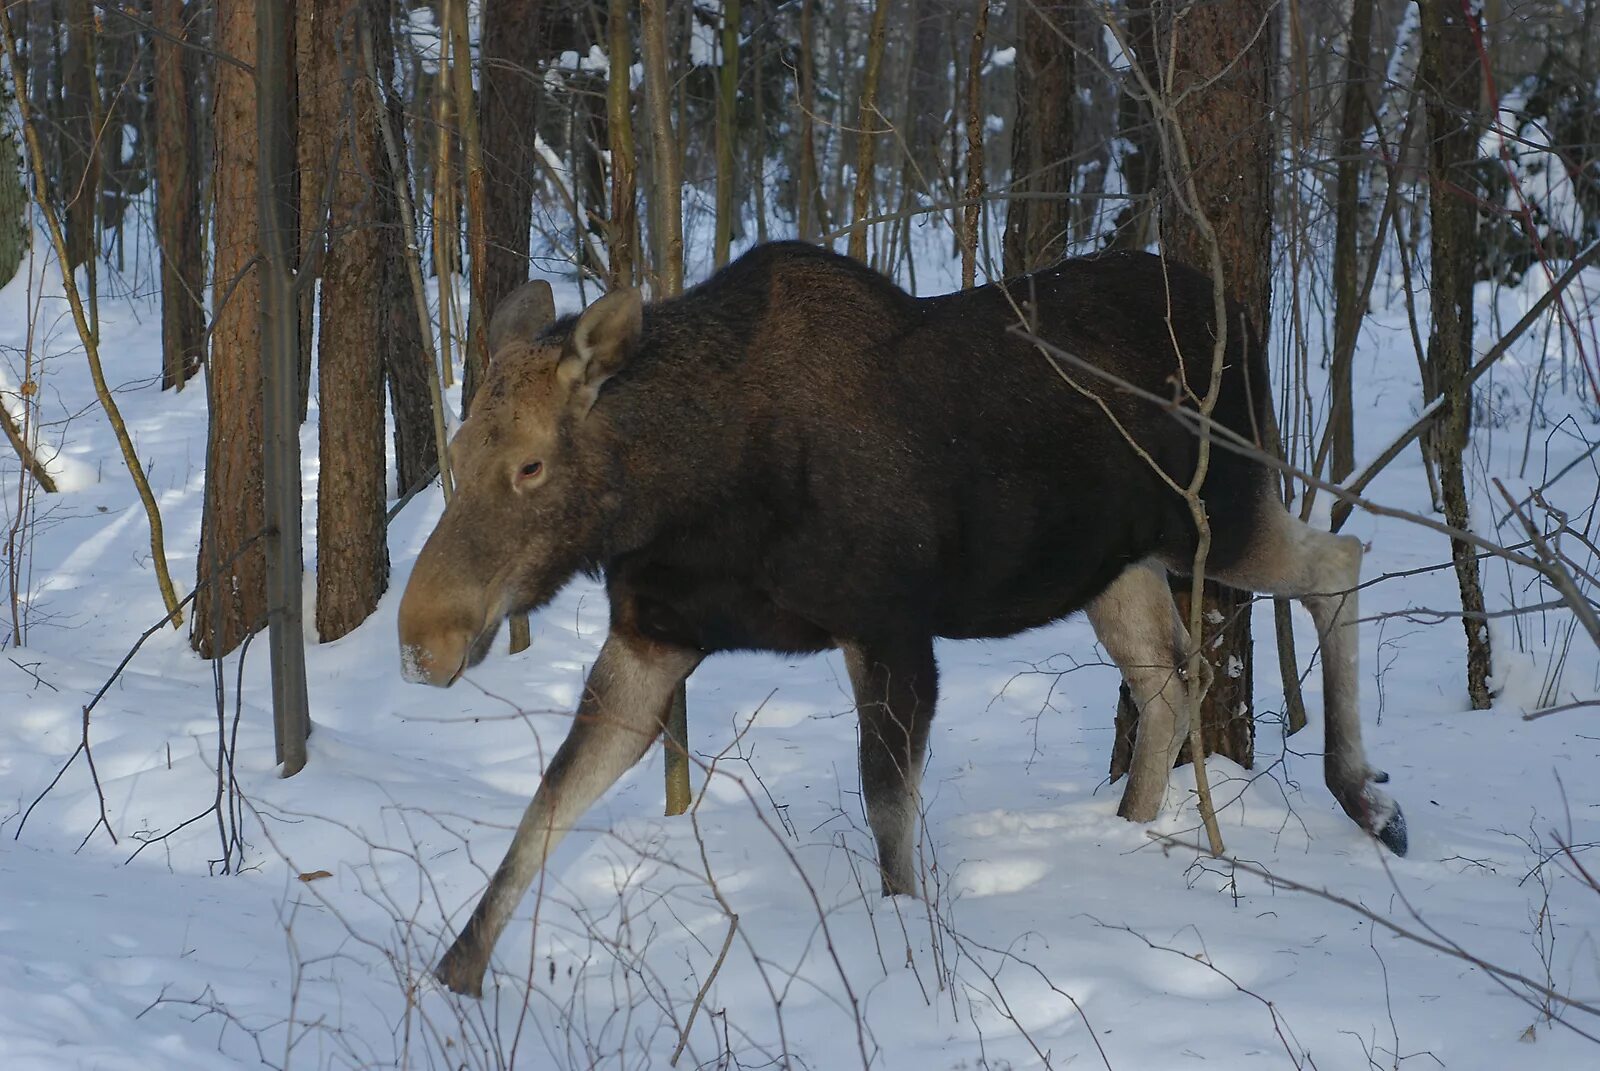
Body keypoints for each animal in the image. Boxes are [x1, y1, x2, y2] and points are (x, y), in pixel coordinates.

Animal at [396, 240, 1401, 992]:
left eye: (530, 464)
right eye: (456, 449)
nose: (421, 639)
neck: (688, 493)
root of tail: (1239, 311)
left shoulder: (888, 625)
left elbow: (886, 808)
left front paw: (911, 951)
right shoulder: (656, 633)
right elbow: (550, 796)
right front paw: (456, 969)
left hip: (1218, 511)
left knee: (1339, 558)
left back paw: (1365, 796)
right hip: (1114, 565)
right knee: (1172, 672)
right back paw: (1129, 828)